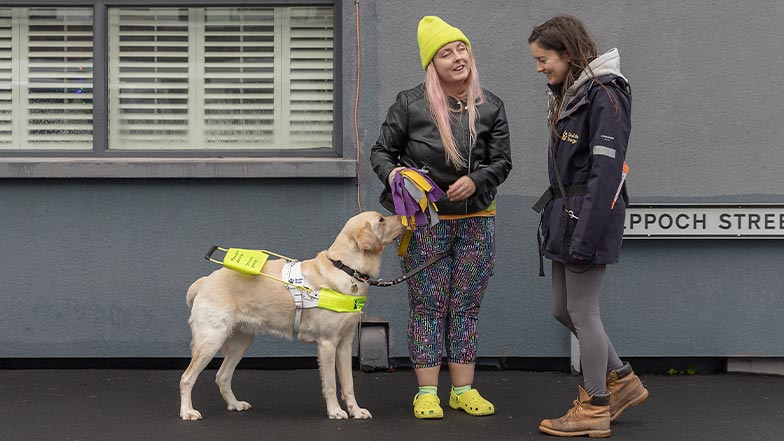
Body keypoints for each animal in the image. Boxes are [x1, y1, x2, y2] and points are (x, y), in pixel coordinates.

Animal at [181, 211, 408, 422]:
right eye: (381, 220)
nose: (404, 216)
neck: (346, 268)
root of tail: (205, 280)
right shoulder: (327, 344)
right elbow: (331, 385)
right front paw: (335, 411)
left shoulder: (344, 343)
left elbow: (348, 384)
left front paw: (355, 411)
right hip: (211, 340)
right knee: (186, 378)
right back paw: (187, 412)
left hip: (241, 342)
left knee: (222, 376)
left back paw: (235, 405)